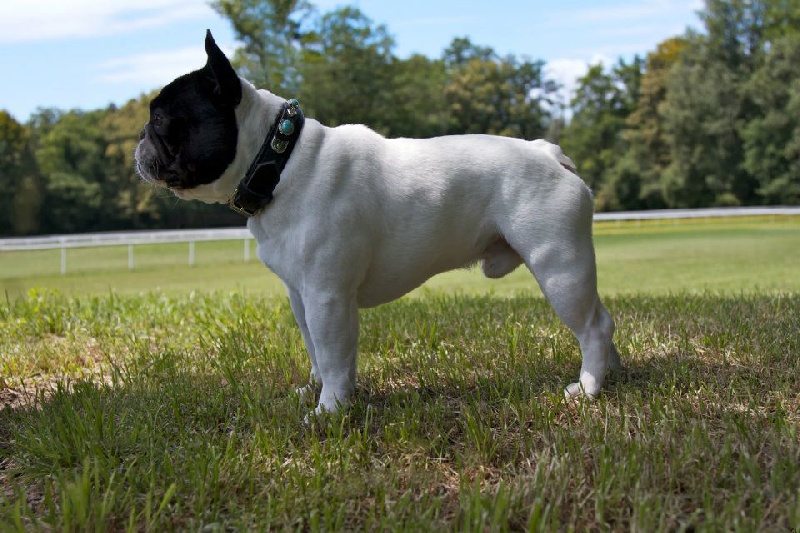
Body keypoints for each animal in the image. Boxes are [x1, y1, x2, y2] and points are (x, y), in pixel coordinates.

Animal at [135, 31, 621, 416]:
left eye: (160, 119)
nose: (138, 139)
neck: (279, 161)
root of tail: (548, 152)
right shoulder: (301, 297)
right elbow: (317, 350)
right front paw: (320, 392)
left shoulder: (327, 296)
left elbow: (333, 354)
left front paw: (329, 411)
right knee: (601, 320)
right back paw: (610, 375)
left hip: (558, 265)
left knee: (592, 325)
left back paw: (588, 389)